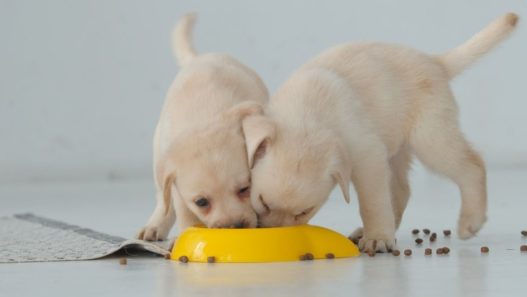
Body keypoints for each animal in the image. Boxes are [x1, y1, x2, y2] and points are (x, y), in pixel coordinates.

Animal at [137, 14, 268, 240]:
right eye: (201, 202)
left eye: (245, 189)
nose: (235, 226)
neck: (205, 119)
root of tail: (197, 58)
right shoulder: (179, 190)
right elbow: (184, 215)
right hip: (158, 156)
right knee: (163, 200)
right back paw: (154, 226)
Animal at [246, 12, 520, 251]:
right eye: (262, 203)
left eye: (304, 212)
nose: (273, 237)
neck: (307, 115)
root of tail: (435, 61)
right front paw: (378, 234)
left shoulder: (366, 157)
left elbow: (373, 202)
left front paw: (377, 237)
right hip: (397, 148)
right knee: (401, 190)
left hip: (431, 138)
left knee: (472, 165)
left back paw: (470, 221)